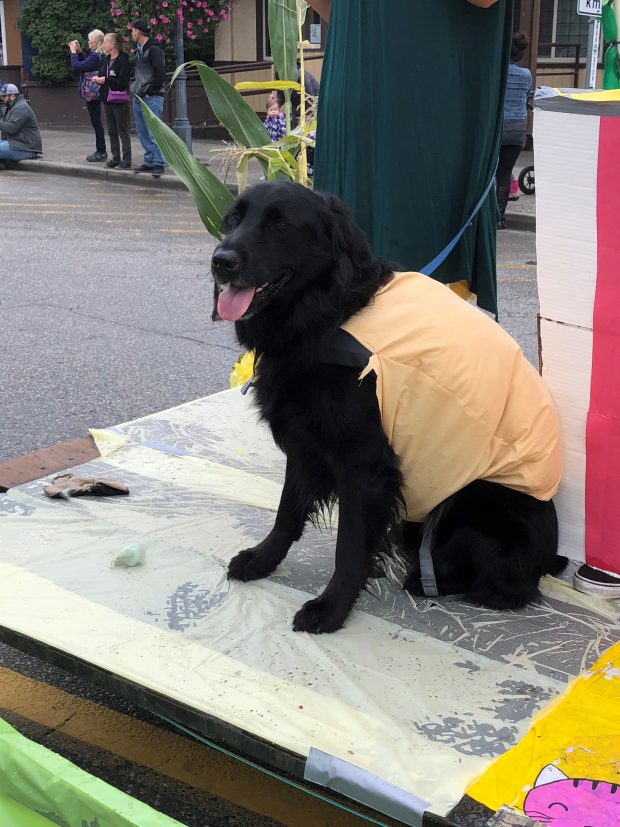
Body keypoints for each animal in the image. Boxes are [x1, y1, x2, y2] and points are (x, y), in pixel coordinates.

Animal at [211, 181, 564, 632]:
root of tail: (551, 557)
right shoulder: (305, 443)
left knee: (508, 590)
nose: (220, 261)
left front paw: (330, 608)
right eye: (234, 219)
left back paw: (428, 580)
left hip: (469, 504)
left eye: (279, 224)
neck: (333, 312)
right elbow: (287, 512)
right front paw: (262, 560)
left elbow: (349, 546)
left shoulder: (361, 464)